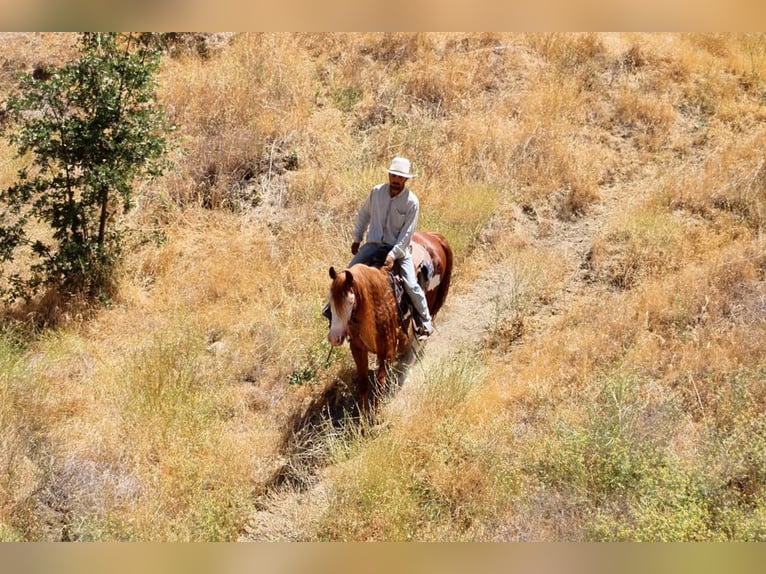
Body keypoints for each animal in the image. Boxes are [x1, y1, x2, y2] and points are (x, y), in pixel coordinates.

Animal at [327, 231, 452, 412]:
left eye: (351, 302)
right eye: (330, 300)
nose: (334, 338)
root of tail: (435, 236)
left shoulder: (387, 350)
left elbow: (379, 382)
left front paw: (376, 412)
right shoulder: (357, 348)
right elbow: (363, 381)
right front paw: (363, 413)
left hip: (431, 307)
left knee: (417, 341)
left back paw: (405, 372)